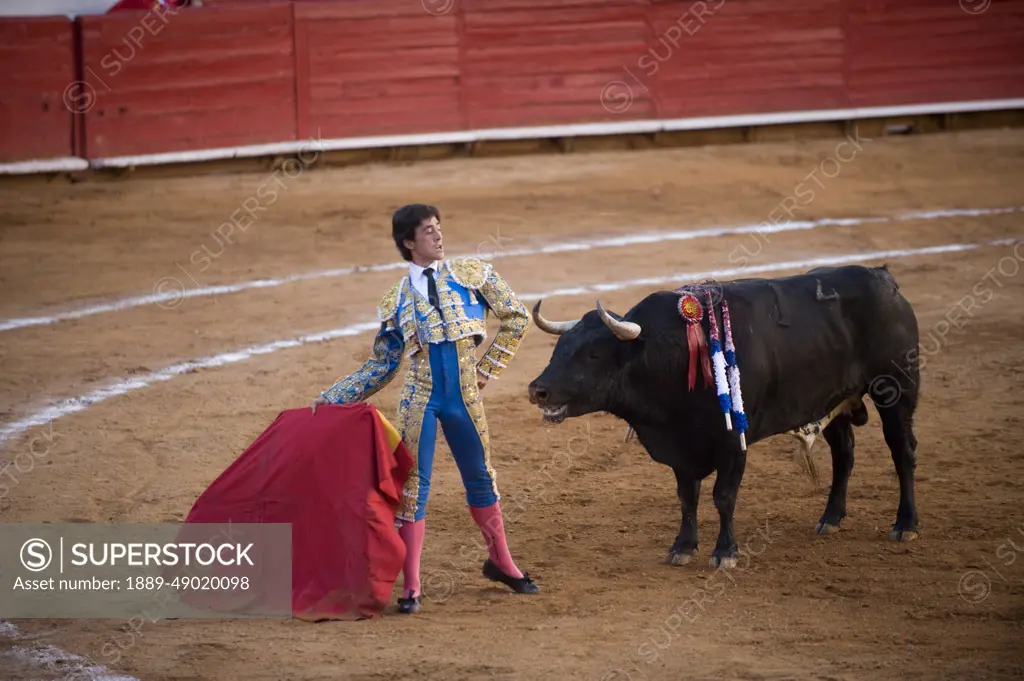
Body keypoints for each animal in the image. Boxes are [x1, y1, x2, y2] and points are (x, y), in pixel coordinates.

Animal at [528, 262, 921, 565]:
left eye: (593, 354)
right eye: (559, 349)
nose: (537, 390)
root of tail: (885, 280)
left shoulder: (734, 442)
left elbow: (723, 497)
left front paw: (725, 552)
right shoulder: (681, 449)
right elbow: (687, 497)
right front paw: (683, 547)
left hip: (896, 389)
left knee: (902, 450)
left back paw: (905, 524)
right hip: (833, 400)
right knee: (844, 453)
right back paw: (830, 518)